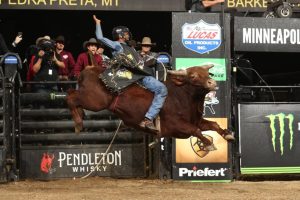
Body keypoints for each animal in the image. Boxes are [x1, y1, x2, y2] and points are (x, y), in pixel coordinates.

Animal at [67, 64, 234, 150]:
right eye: (193, 76)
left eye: (207, 73)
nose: (212, 83)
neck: (182, 97)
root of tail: (89, 69)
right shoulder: (175, 126)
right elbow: (196, 130)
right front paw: (209, 144)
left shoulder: (195, 120)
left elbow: (213, 124)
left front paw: (228, 135)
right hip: (95, 100)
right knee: (71, 96)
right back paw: (78, 123)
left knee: (73, 95)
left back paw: (80, 116)